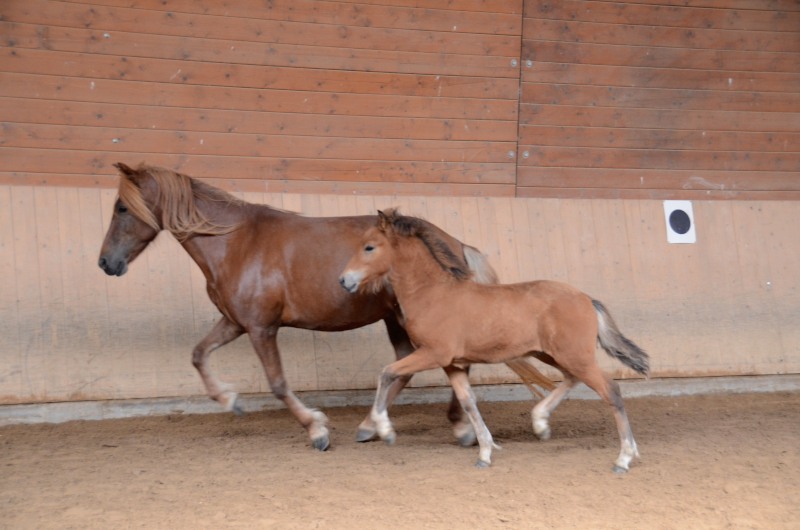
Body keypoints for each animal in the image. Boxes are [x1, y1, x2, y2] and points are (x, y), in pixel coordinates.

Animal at [98, 162, 552, 451]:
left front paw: (316, 429)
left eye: (122, 207)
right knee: (406, 367)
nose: (106, 263)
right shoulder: (235, 323)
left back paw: (456, 428)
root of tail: (456, 242)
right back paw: (375, 426)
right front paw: (230, 400)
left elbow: (278, 384)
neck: (235, 243)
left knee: (438, 363)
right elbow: (198, 355)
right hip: (395, 319)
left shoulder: (261, 328)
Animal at [339, 209, 650, 472]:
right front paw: (485, 453)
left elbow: (387, 373)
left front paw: (385, 431)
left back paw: (624, 458)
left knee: (611, 391)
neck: (433, 294)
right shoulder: (453, 364)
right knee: (571, 379)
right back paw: (540, 422)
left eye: (369, 247)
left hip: (574, 355)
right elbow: (468, 402)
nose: (344, 280)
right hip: (550, 354)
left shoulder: (433, 354)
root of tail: (586, 298)